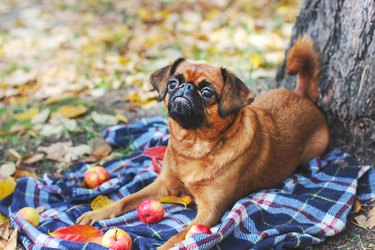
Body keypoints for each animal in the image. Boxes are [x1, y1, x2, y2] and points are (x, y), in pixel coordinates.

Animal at [77, 36, 328, 249]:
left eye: (207, 92)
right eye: (172, 84)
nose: (186, 87)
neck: (193, 145)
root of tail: (302, 96)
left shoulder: (209, 211)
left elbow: (181, 235)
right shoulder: (162, 185)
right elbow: (126, 199)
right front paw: (96, 213)